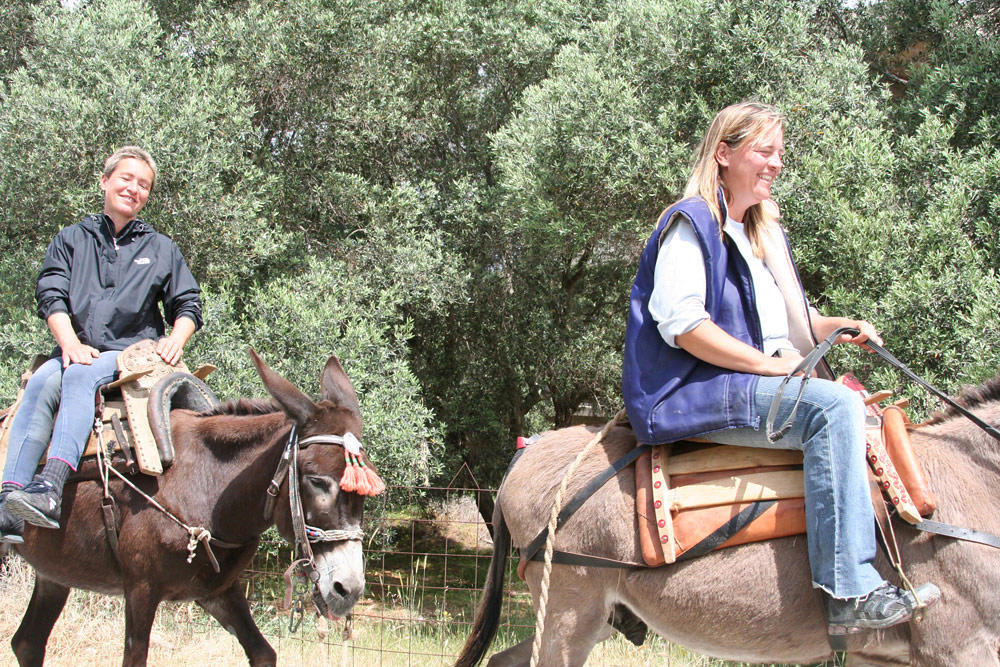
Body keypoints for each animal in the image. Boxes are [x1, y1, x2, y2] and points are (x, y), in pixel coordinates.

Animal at [8, 349, 374, 667]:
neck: (207, 484)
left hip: (54, 573)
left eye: (369, 489)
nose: (349, 590)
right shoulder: (140, 590)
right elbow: (134, 658)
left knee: (27, 643)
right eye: (316, 481)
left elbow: (263, 653)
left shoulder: (218, 591)